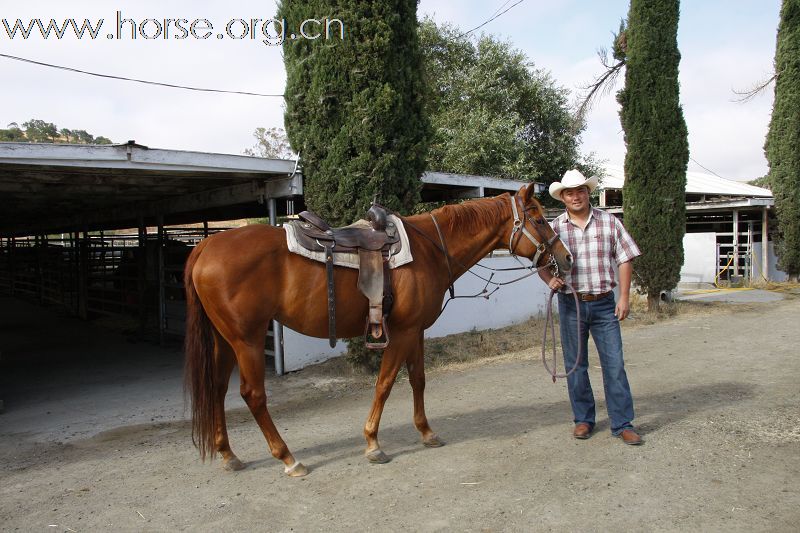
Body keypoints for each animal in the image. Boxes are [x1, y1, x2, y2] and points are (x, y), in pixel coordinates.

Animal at [184, 184, 572, 478]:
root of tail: (205, 246)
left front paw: (426, 432)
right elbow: (385, 384)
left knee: (217, 389)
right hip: (246, 341)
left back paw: (228, 454)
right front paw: (373, 443)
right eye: (539, 218)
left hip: (225, 341)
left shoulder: (415, 331)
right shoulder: (401, 333)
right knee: (253, 395)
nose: (566, 259)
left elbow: (418, 380)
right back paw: (289, 459)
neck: (431, 247)